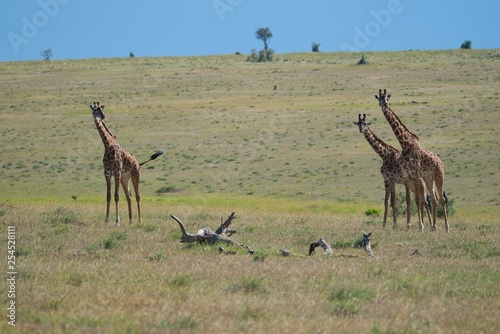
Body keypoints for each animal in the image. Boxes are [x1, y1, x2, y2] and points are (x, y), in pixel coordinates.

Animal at [376, 90, 450, 234]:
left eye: (387, 98)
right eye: (379, 99)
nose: (384, 105)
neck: (405, 144)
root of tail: (440, 161)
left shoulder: (414, 174)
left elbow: (418, 200)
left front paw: (420, 226)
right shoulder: (408, 175)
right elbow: (413, 199)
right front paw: (415, 225)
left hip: (439, 176)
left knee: (441, 199)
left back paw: (446, 227)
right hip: (428, 178)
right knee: (434, 199)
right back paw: (433, 227)